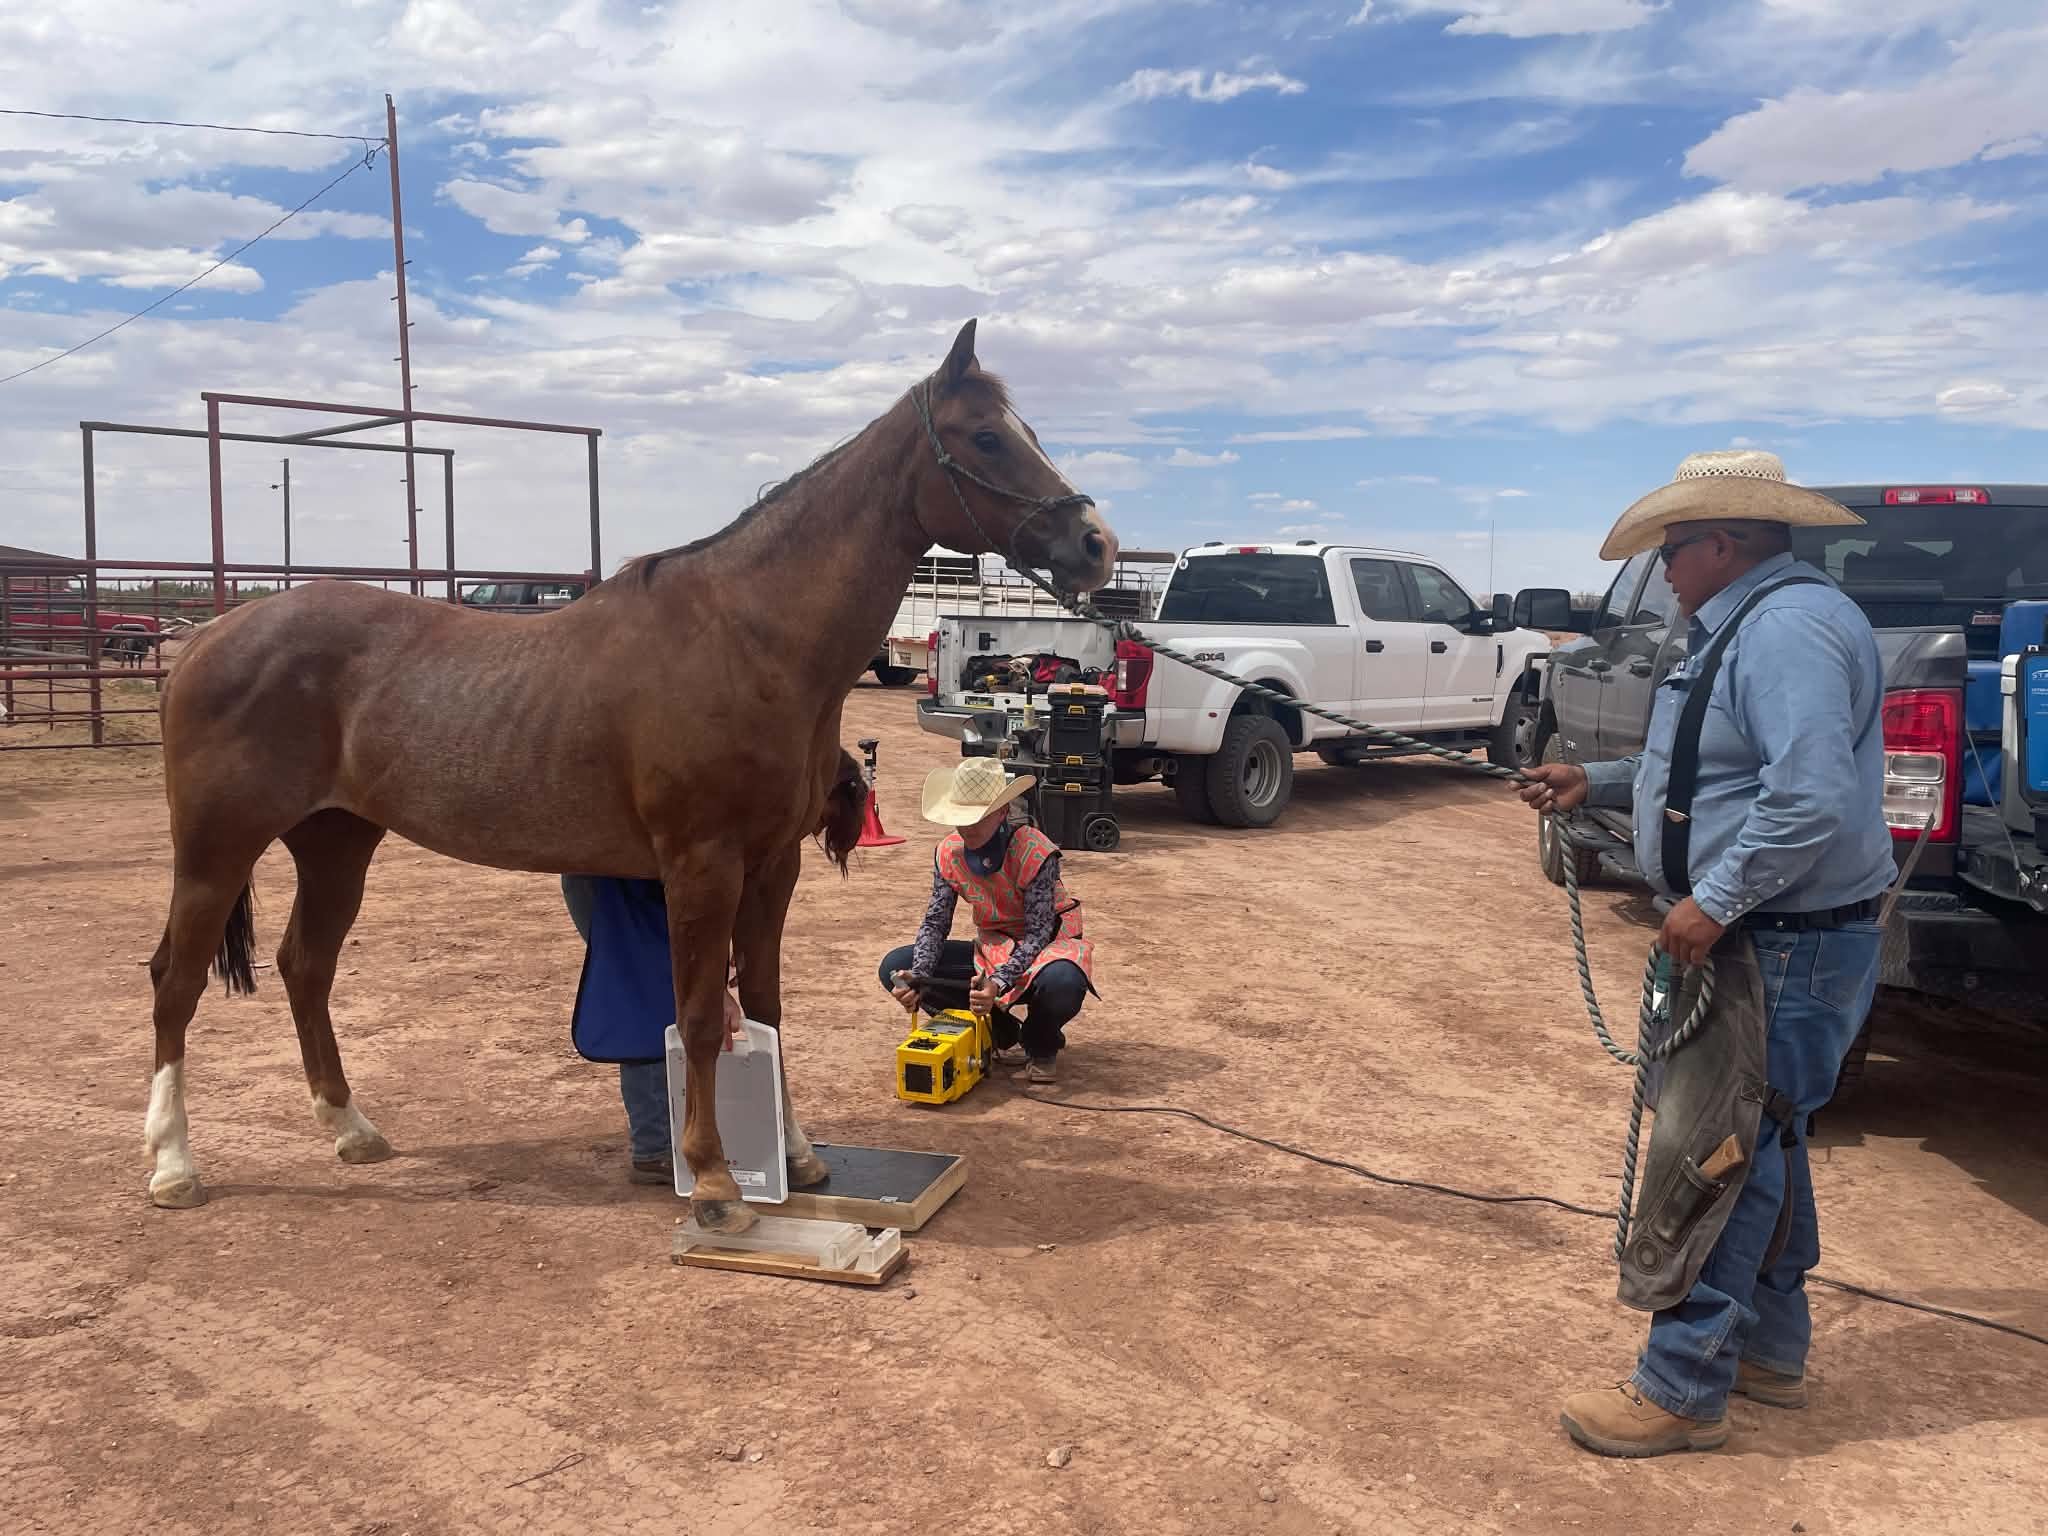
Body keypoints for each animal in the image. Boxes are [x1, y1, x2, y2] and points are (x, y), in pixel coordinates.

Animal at [143, 319, 1118, 1232]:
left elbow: (764, 1005)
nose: (1097, 543)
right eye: (986, 436)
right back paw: (173, 1167)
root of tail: (208, 635)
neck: (750, 640)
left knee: (305, 966)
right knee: (176, 981)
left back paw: (350, 1130)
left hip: (336, 841)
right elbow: (699, 1014)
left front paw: (798, 1159)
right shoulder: (702, 865)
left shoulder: (773, 866)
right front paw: (716, 1182)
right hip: (216, 848)